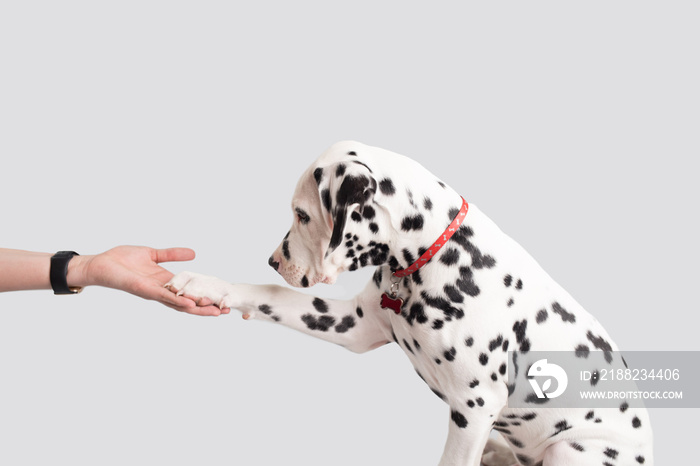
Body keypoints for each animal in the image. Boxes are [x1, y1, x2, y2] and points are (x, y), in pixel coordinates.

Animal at [167, 142, 652, 466]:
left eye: (302, 215)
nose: (273, 261)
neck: (432, 256)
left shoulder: (474, 407)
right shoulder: (355, 326)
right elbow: (274, 295)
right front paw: (207, 284)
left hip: (571, 451)